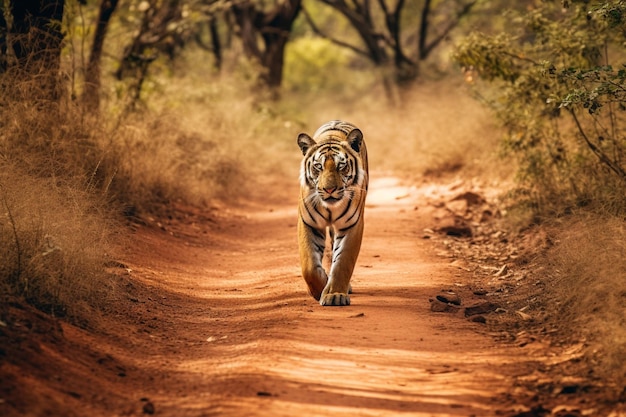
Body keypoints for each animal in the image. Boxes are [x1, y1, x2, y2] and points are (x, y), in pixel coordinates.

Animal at [296, 120, 368, 306]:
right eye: (318, 166)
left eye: (341, 166)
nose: (329, 189)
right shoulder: (308, 223)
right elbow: (309, 266)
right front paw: (319, 288)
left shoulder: (352, 224)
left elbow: (343, 262)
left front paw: (334, 295)